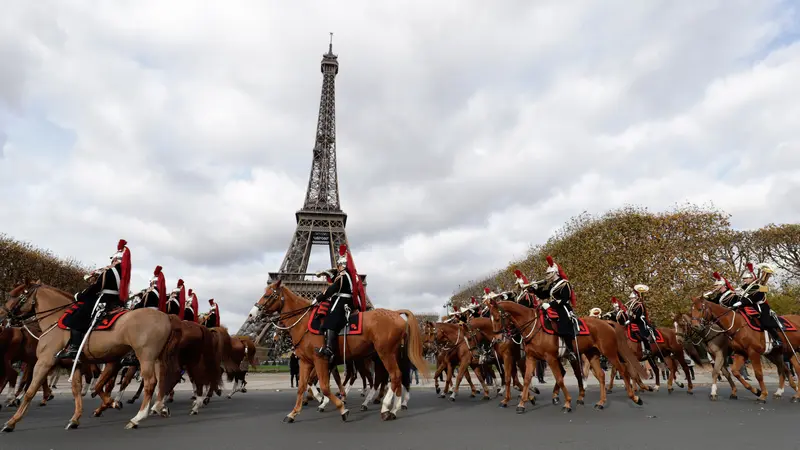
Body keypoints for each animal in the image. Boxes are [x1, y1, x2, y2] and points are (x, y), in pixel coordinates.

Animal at [0, 282, 181, 432]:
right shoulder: (76, 363)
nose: (3, 314)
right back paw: (159, 407)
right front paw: (76, 418)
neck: (57, 320)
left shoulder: (45, 361)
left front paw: (12, 422)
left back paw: (137, 418)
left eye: (14, 295)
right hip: (156, 359)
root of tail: (166, 317)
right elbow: (76, 390)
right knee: (163, 380)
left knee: (150, 383)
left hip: (145, 358)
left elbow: (30, 391)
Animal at [252, 280, 432, 424]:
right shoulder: (306, 362)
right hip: (387, 356)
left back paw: (387, 408)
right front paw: (294, 413)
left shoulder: (321, 360)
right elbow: (302, 386)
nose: (253, 314)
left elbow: (324, 386)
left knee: (393, 376)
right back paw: (392, 407)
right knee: (390, 377)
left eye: (268, 295)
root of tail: (395, 313)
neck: (304, 323)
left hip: (384, 354)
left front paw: (340, 407)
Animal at [484, 300, 648, 414]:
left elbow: (559, 379)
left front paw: (567, 403)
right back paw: (601, 402)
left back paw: (635, 397)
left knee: (623, 371)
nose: (498, 340)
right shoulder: (531, 358)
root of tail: (605, 322)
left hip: (610, 353)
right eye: (490, 320)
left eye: (497, 318)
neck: (534, 327)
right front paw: (522, 404)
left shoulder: (550, 358)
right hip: (592, 354)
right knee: (601, 376)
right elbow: (526, 380)